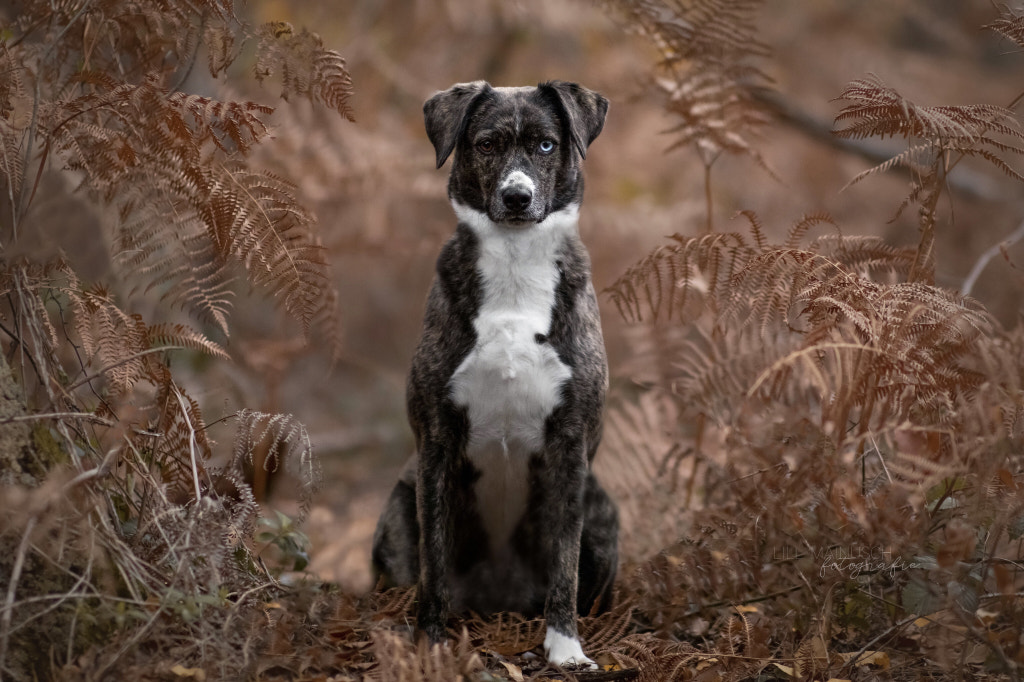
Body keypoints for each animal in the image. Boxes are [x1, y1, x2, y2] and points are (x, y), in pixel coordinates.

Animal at [372, 78, 618, 663]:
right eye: (485, 145)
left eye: (547, 144)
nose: (516, 197)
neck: (515, 264)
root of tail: (498, 602)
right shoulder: (437, 442)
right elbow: (434, 562)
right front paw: (431, 642)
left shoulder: (570, 446)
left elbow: (564, 565)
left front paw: (565, 649)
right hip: (396, 515)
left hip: (604, 517)